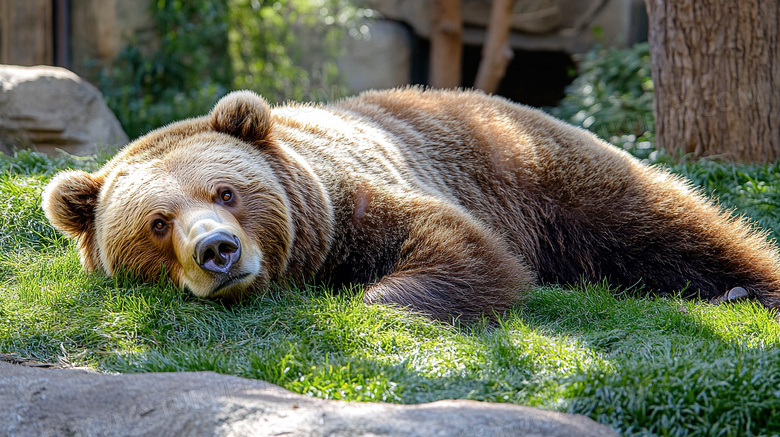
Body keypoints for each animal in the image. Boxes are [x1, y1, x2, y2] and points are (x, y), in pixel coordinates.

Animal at [41, 88, 780, 320]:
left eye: (227, 191)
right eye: (157, 223)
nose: (217, 250)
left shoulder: (366, 199)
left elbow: (460, 246)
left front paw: (377, 300)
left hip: (551, 174)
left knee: (675, 227)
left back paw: (749, 287)